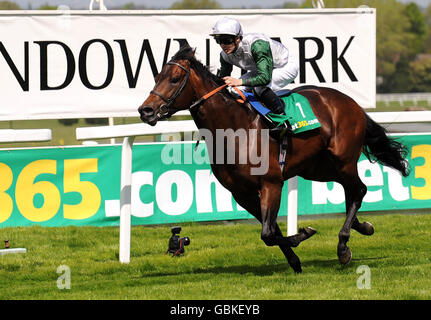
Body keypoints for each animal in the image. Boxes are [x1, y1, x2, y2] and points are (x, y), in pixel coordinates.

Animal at [139, 47, 412, 272]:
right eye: (156, 77)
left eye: (174, 79)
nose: (146, 111)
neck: (235, 129)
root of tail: (350, 102)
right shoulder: (242, 193)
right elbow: (270, 231)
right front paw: (295, 260)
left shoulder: (271, 183)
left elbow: (268, 233)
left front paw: (304, 233)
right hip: (318, 168)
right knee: (352, 191)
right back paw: (362, 226)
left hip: (343, 159)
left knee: (359, 189)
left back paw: (344, 246)